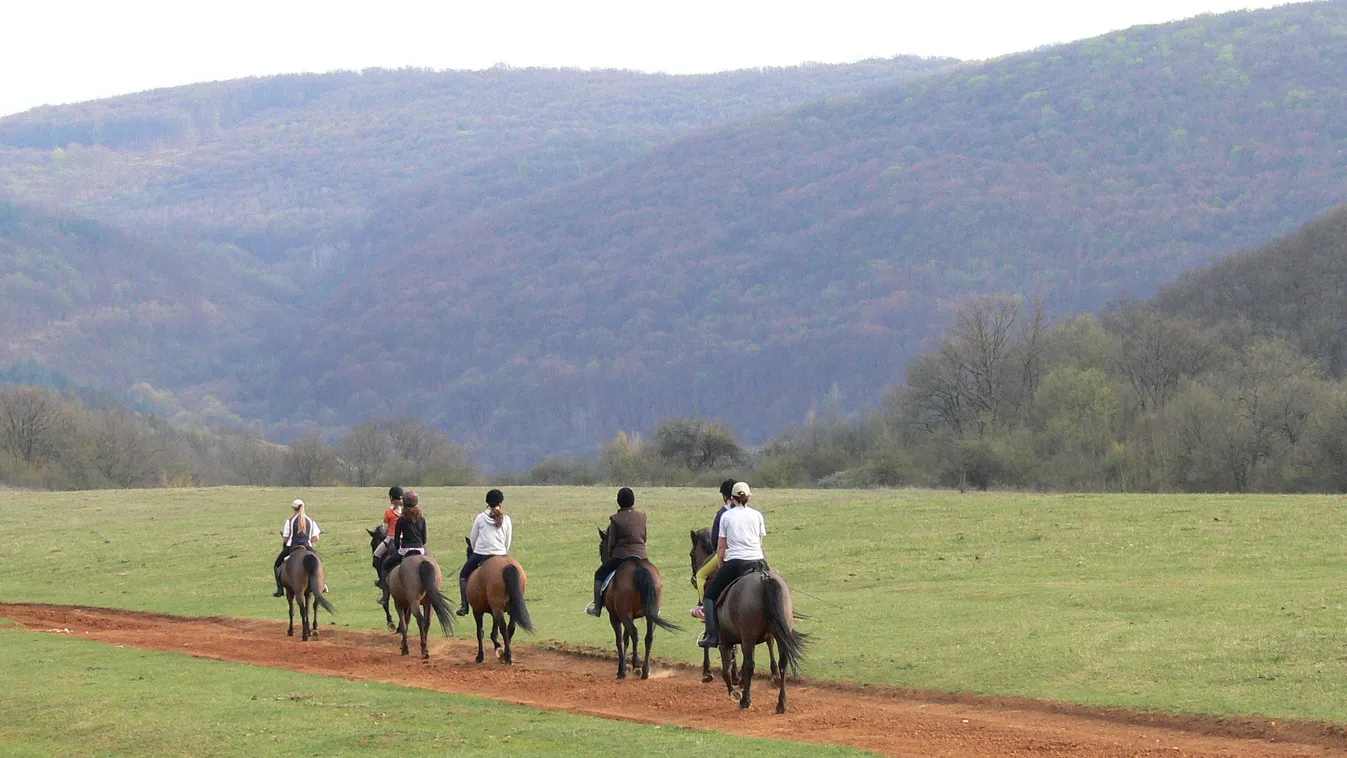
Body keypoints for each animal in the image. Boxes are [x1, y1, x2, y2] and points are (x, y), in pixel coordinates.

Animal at [600, 527, 684, 681]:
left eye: (601, 546)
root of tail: (638, 566)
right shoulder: (630, 616)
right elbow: (626, 638)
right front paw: (626, 667)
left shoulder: (615, 616)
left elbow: (620, 640)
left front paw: (622, 670)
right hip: (652, 612)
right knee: (648, 637)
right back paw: (645, 670)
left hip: (623, 613)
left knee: (635, 633)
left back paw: (637, 667)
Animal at [689, 530, 786, 683]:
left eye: (691, 554)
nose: (693, 580)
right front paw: (736, 672)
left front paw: (708, 671)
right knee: (769, 640)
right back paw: (774, 673)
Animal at [711, 565, 802, 716]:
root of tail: (764, 577)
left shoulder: (725, 641)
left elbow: (726, 670)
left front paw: (735, 692)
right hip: (780, 633)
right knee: (783, 663)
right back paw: (781, 704)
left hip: (748, 636)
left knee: (750, 665)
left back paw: (745, 701)